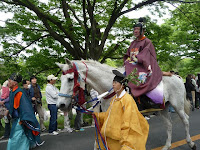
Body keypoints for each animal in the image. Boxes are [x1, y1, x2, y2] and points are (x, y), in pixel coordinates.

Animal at [55, 59, 196, 149]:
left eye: (70, 79)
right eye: (60, 79)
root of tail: (177, 78)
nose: (60, 105)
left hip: (177, 105)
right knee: (169, 125)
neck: (111, 88)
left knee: (186, 120)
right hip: (163, 108)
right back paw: (167, 146)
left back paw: (190, 143)